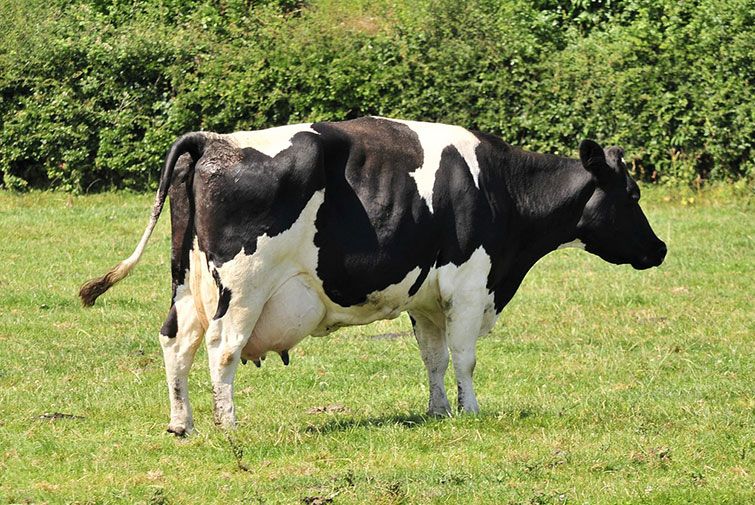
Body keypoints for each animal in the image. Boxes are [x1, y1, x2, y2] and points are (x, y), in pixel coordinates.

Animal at [79, 115, 664, 434]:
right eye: (632, 194)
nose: (659, 248)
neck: (501, 187)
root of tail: (213, 141)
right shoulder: (469, 284)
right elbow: (465, 356)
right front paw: (472, 411)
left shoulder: (427, 297)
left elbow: (433, 357)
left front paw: (439, 412)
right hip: (243, 287)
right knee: (222, 350)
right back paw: (229, 425)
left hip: (188, 282)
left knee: (175, 341)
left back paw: (183, 423)